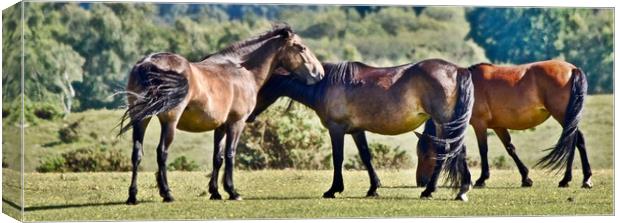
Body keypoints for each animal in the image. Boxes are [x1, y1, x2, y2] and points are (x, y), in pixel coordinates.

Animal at [118, 26, 326, 204]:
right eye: (301, 47)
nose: (320, 74)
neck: (242, 70)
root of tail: (148, 63)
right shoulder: (236, 123)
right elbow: (230, 154)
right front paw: (232, 191)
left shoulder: (221, 126)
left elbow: (217, 157)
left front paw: (215, 192)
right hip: (169, 122)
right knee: (162, 152)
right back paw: (167, 193)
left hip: (141, 119)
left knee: (137, 154)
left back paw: (132, 196)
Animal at [249, 58, 478, 200]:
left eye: (259, 87)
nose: (248, 115)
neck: (326, 84)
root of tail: (458, 70)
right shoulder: (357, 131)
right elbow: (366, 156)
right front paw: (373, 188)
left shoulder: (336, 129)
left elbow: (338, 158)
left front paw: (333, 189)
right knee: (458, 151)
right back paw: (462, 189)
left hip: (443, 122)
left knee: (446, 152)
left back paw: (430, 190)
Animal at [416, 60, 592, 189]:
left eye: (426, 154)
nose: (420, 182)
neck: (466, 90)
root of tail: (573, 69)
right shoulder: (498, 126)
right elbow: (510, 148)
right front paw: (525, 178)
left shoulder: (480, 124)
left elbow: (483, 150)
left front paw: (481, 179)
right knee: (576, 140)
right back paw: (580, 179)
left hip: (563, 115)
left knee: (575, 139)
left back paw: (570, 179)